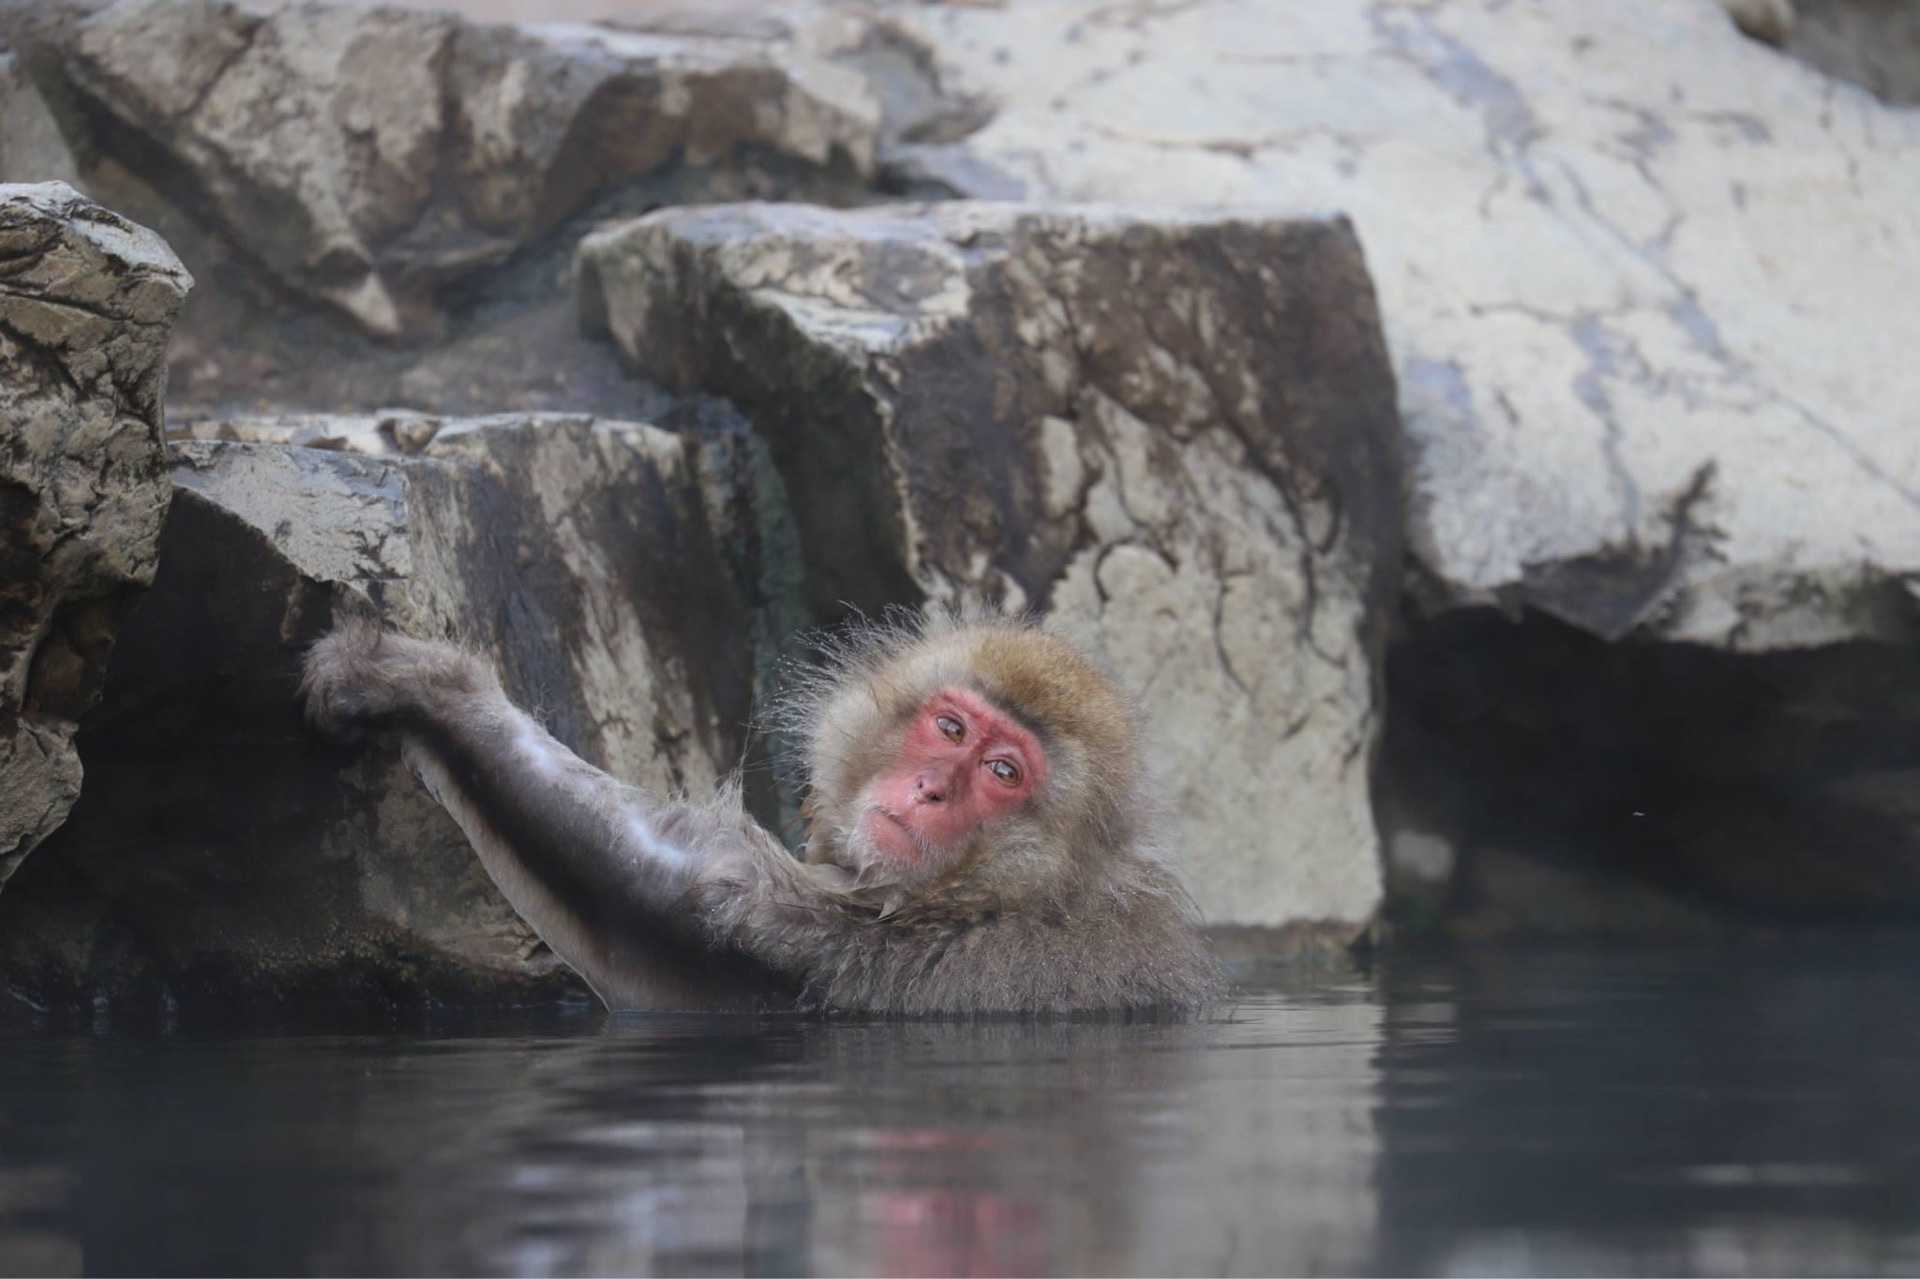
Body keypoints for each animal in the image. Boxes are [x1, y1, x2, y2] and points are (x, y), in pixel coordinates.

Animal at [299, 614, 1213, 1013]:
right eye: (951, 727)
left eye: (1002, 771)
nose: (931, 791)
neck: (1006, 892)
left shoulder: (850, 941)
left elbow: (670, 899)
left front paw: (432, 694)